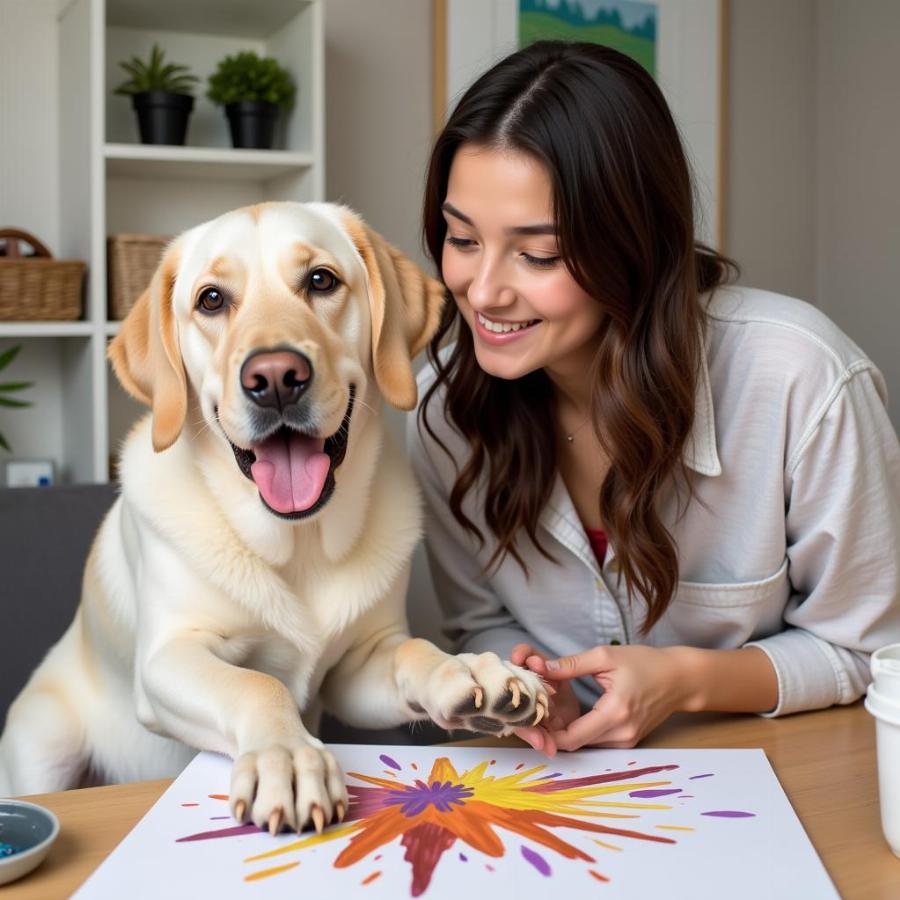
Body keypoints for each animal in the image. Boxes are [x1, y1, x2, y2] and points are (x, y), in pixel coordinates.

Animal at [0, 200, 548, 832]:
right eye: (211, 299)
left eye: (321, 280)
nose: (276, 378)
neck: (299, 539)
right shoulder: (167, 658)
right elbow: (256, 683)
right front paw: (285, 756)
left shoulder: (355, 669)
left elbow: (413, 651)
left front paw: (471, 670)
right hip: (43, 743)